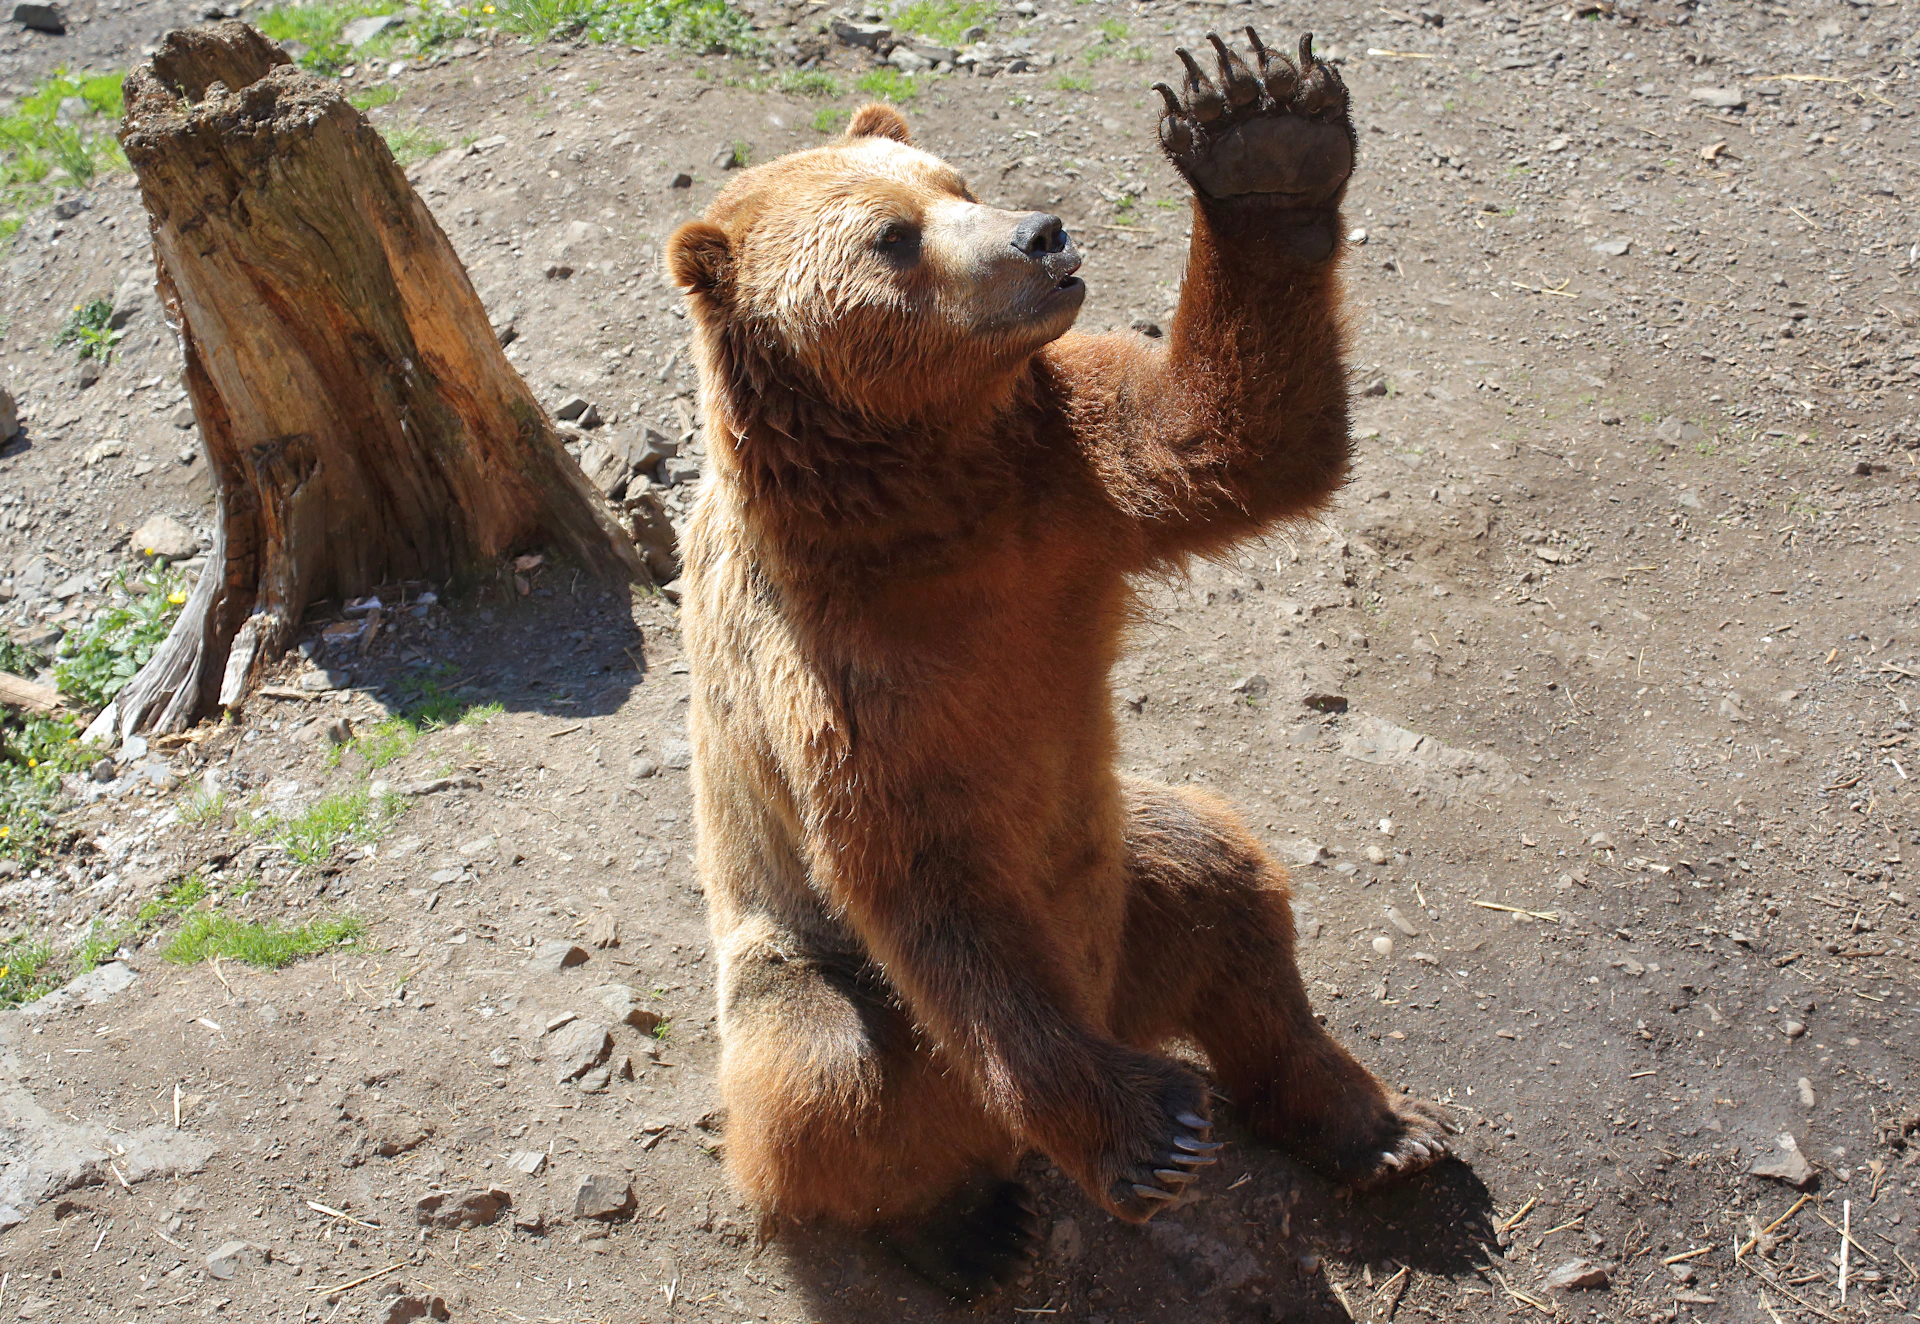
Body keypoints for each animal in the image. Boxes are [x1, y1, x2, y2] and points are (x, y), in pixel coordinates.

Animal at [667, 29, 1454, 1299]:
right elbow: (928, 877)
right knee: (825, 1073)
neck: (923, 506)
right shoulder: (831, 672)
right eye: (893, 235)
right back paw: (960, 1228)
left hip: (1122, 881)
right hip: (811, 965)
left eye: (957, 182)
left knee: (1229, 887)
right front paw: (1144, 1131)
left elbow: (1232, 438)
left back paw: (1378, 1128)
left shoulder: (1063, 483)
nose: (1042, 235)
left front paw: (1261, 135)